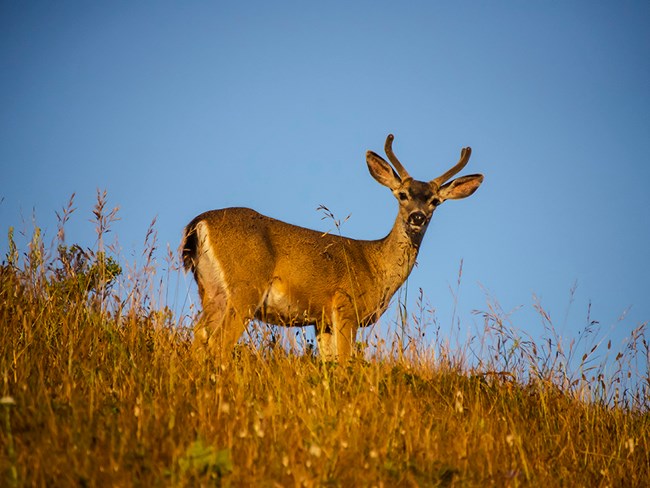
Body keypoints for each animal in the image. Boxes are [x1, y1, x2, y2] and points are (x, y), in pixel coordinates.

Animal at [181, 135, 480, 360]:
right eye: (402, 195)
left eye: (435, 201)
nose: (417, 217)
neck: (376, 266)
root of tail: (199, 223)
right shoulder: (345, 306)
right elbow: (345, 361)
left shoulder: (321, 319)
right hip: (245, 287)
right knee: (218, 343)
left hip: (211, 289)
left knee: (199, 334)